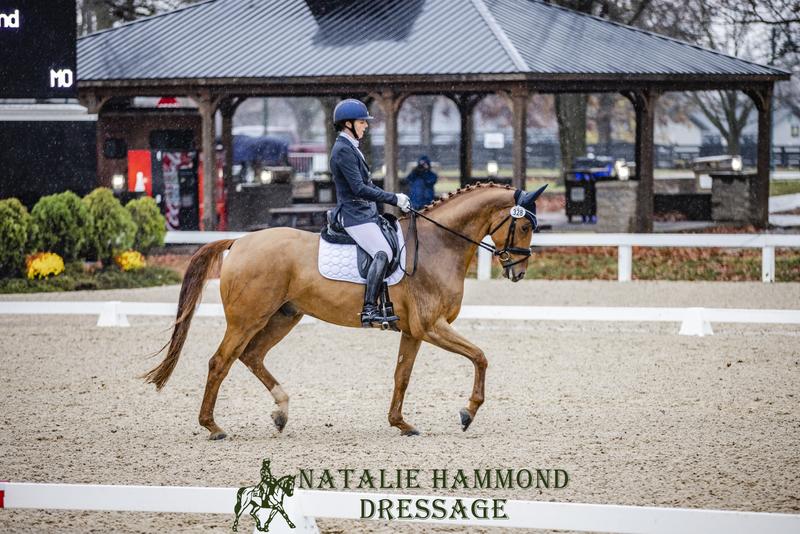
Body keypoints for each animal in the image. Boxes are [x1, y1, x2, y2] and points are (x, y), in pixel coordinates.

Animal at [142, 183, 544, 440]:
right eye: (524, 225)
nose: (518, 272)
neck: (436, 245)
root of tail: (239, 241)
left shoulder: (414, 330)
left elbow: (402, 376)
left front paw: (401, 423)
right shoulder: (432, 325)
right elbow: (480, 356)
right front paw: (467, 412)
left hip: (283, 317)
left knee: (251, 356)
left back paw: (281, 412)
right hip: (247, 319)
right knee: (220, 362)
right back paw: (213, 427)